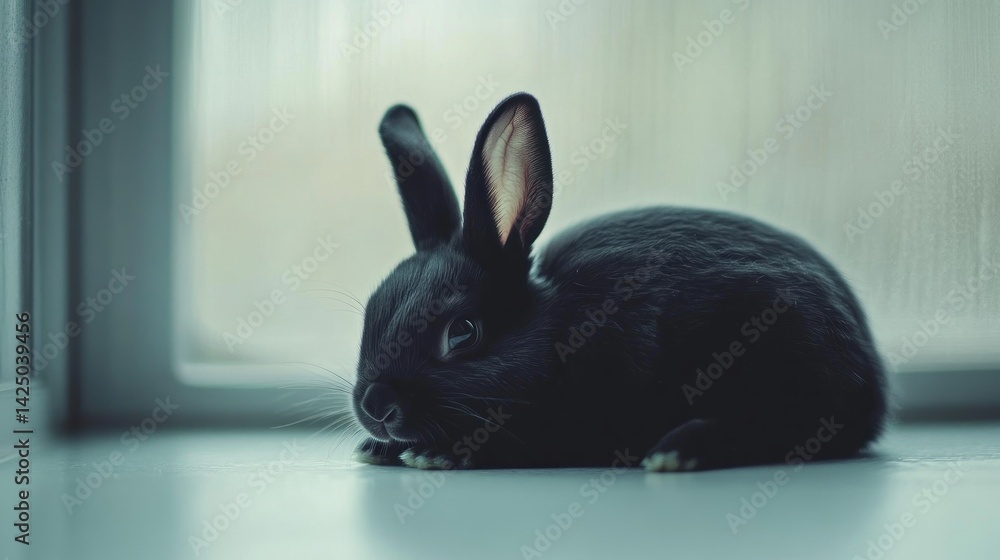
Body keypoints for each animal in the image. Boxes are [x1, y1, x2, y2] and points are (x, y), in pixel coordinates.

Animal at [351, 92, 887, 471]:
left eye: (462, 332)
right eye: (371, 312)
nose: (374, 406)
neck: (558, 331)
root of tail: (871, 374)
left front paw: (436, 454)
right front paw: (374, 449)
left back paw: (677, 451)